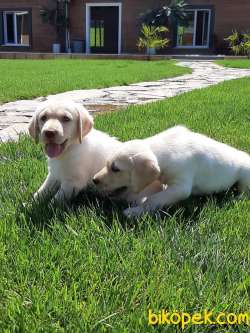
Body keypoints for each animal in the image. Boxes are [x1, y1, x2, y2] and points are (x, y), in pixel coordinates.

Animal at [93, 126, 250, 217]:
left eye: (115, 169)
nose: (94, 180)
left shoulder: (180, 186)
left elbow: (153, 199)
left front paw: (135, 211)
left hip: (245, 174)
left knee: (244, 192)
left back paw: (236, 198)